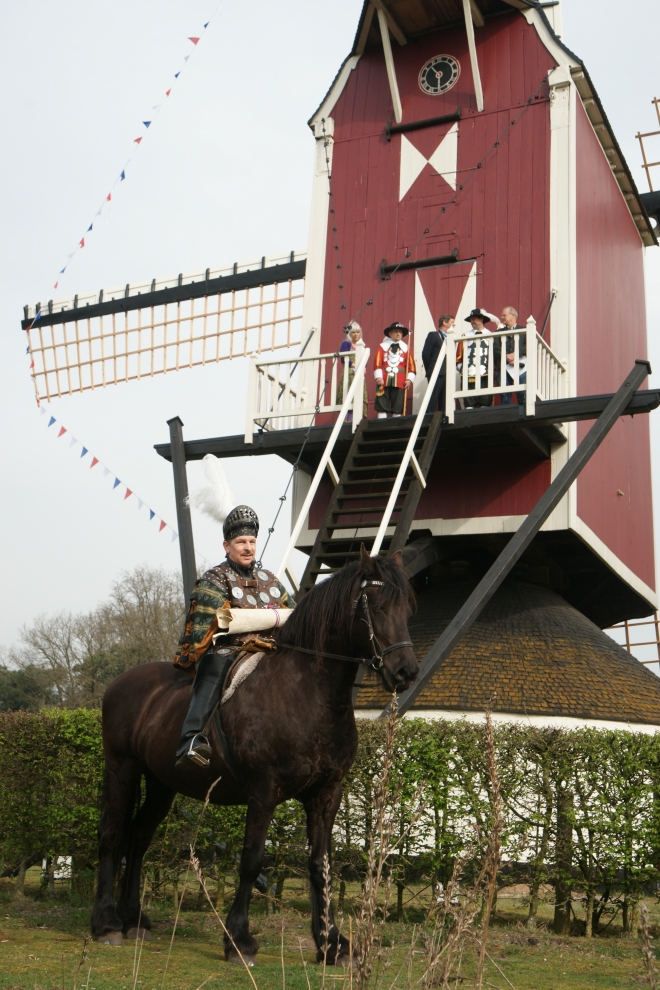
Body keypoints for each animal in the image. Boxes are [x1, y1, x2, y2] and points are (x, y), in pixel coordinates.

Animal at [91, 552, 418, 960]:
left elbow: (321, 864)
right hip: (122, 768)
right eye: (376, 604)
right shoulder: (264, 791)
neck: (310, 695)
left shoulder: (327, 793)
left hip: (161, 783)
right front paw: (238, 939)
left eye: (406, 608)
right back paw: (106, 922)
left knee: (138, 838)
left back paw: (134, 918)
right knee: (112, 834)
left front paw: (331, 942)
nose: (406, 672)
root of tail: (119, 683)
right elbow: (251, 859)